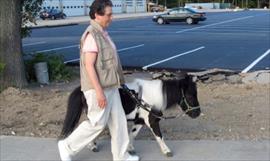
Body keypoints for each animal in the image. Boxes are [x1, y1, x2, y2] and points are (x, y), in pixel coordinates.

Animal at [60, 72, 200, 157]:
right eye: (190, 95)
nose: (198, 113)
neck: (148, 99)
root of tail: (82, 90)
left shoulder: (139, 121)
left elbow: (132, 134)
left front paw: (130, 148)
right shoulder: (152, 121)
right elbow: (159, 136)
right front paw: (167, 151)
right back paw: (89, 146)